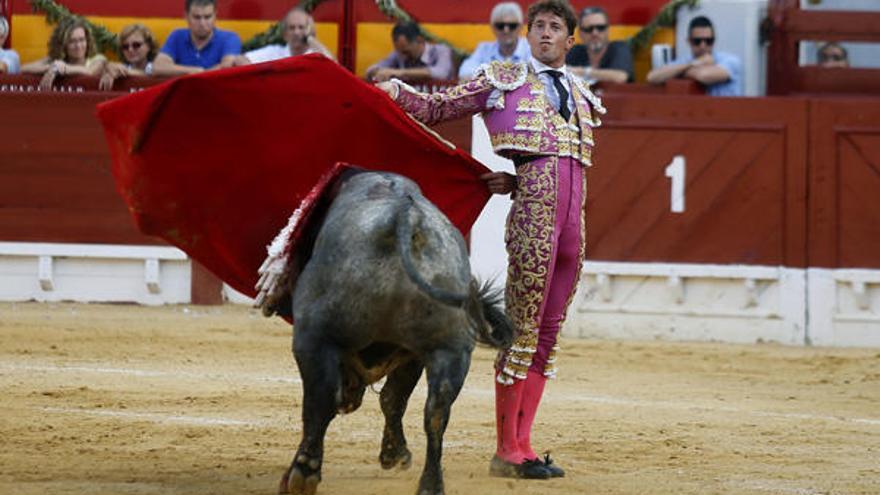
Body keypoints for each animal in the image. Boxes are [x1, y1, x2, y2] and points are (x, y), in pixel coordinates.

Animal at [266, 170, 516, 495]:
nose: (350, 400)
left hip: (316, 336)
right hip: (450, 349)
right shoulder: (414, 354)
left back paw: (301, 475)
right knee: (436, 411)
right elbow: (394, 399)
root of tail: (405, 217)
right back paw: (430, 484)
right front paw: (395, 454)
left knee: (320, 400)